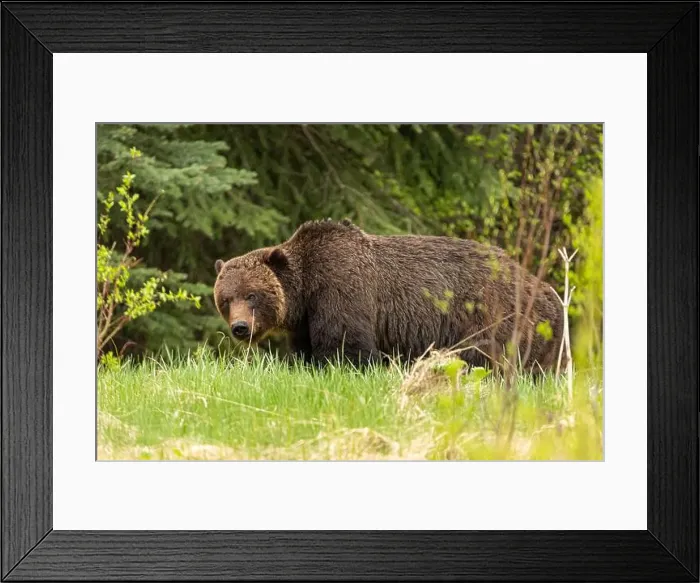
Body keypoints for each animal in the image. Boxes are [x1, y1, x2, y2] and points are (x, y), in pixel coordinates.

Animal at [213, 218, 564, 372]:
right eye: (226, 300)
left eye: (252, 295)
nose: (240, 328)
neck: (306, 290)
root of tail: (547, 290)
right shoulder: (307, 318)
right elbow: (305, 351)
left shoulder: (342, 289)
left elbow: (347, 346)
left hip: (492, 315)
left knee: (487, 357)